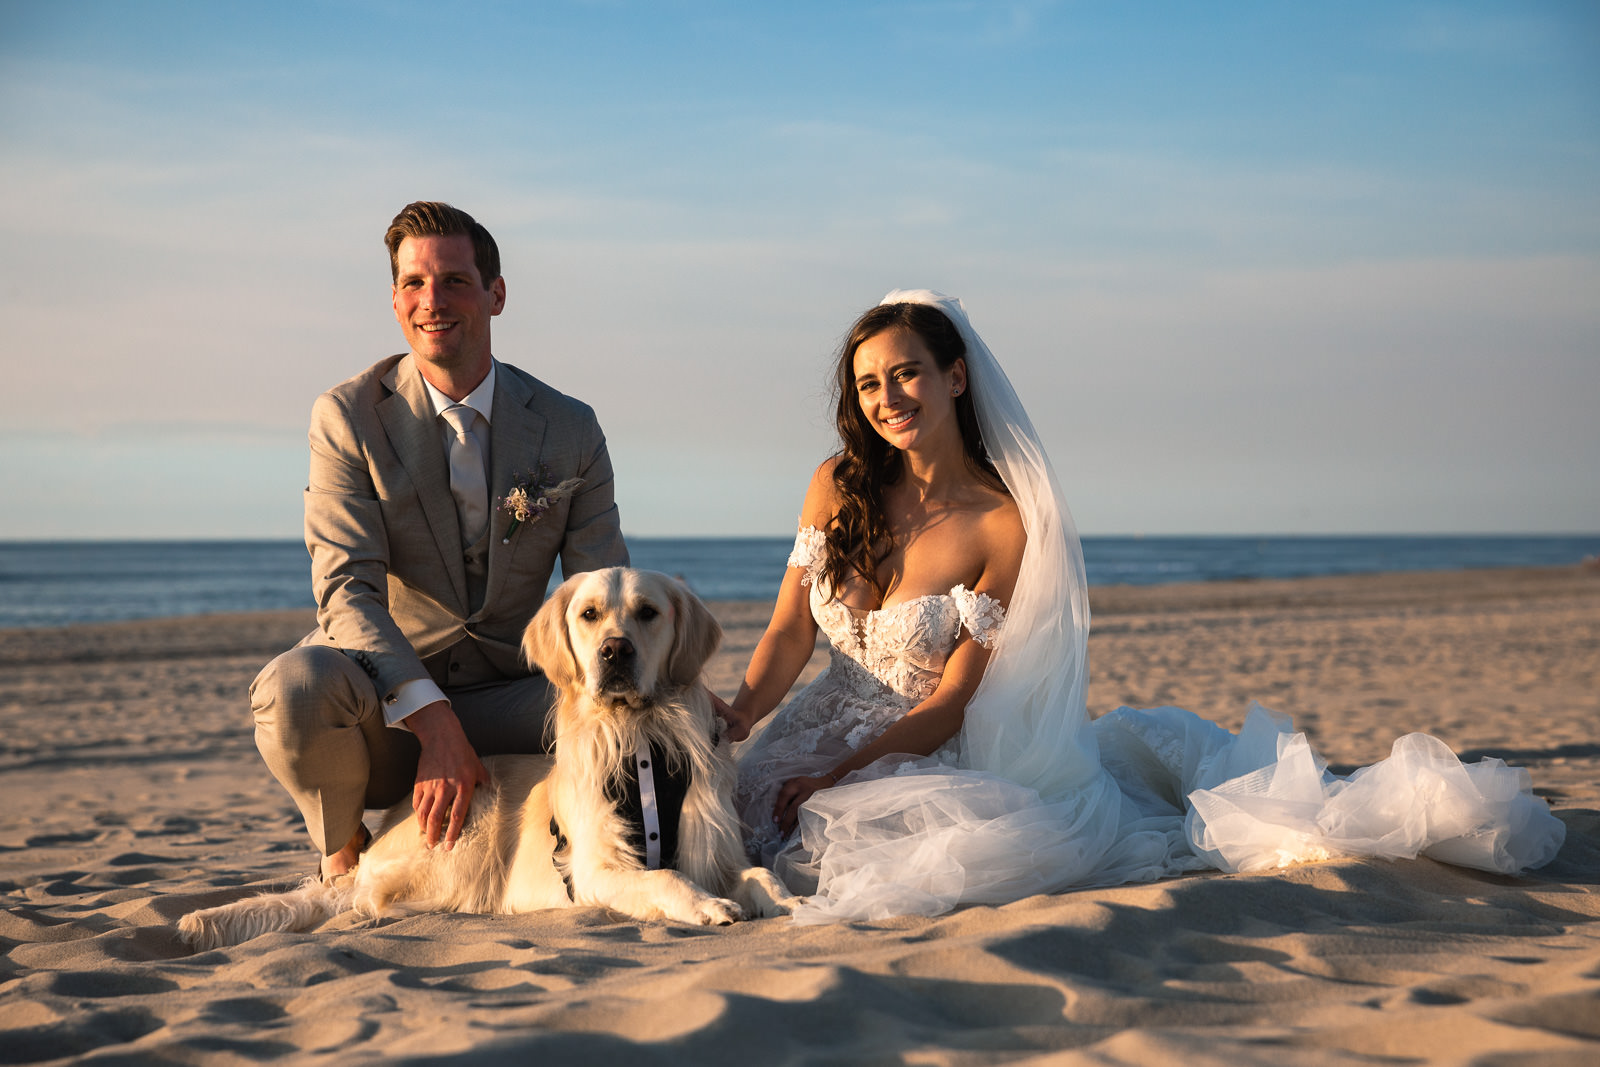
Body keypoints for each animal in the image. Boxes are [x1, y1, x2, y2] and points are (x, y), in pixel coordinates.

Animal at [180, 566, 793, 953]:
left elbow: (762, 874)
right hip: (468, 829)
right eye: (589, 614)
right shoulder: (597, 871)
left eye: (648, 612)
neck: (638, 734)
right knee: (374, 902)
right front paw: (709, 907)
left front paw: (789, 902)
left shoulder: (717, 849)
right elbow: (665, 877)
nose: (615, 651)